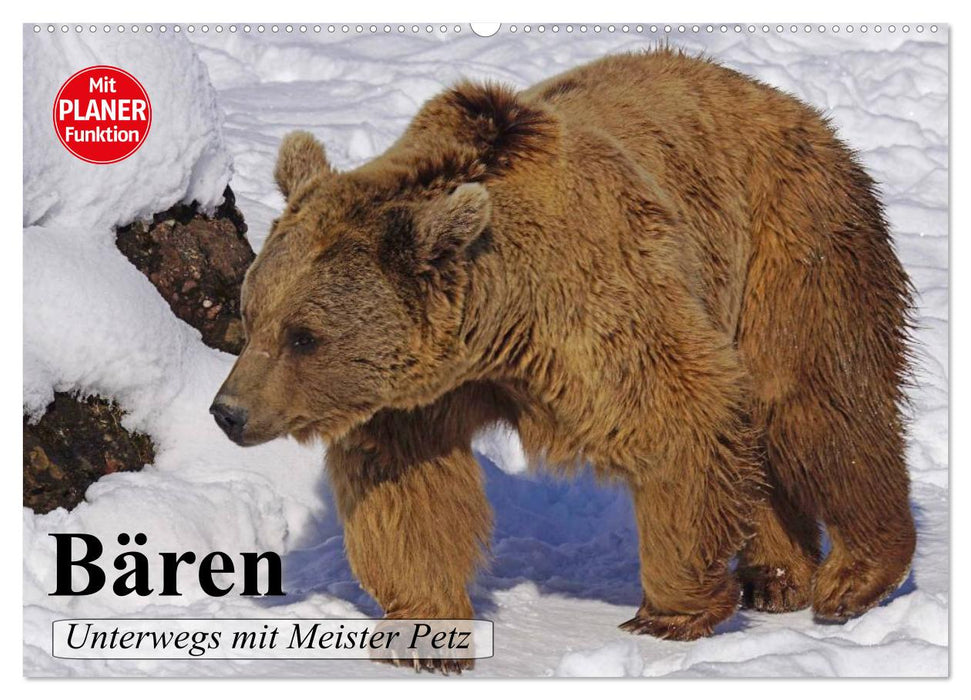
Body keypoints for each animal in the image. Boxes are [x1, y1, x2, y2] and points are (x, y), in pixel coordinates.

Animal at [211, 49, 916, 672]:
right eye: (253, 313)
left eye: (304, 336)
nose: (229, 411)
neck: (494, 323)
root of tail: (786, 104)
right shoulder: (419, 391)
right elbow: (408, 488)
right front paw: (424, 636)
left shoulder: (594, 306)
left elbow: (681, 415)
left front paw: (669, 612)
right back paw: (776, 576)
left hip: (787, 243)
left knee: (815, 404)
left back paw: (855, 576)